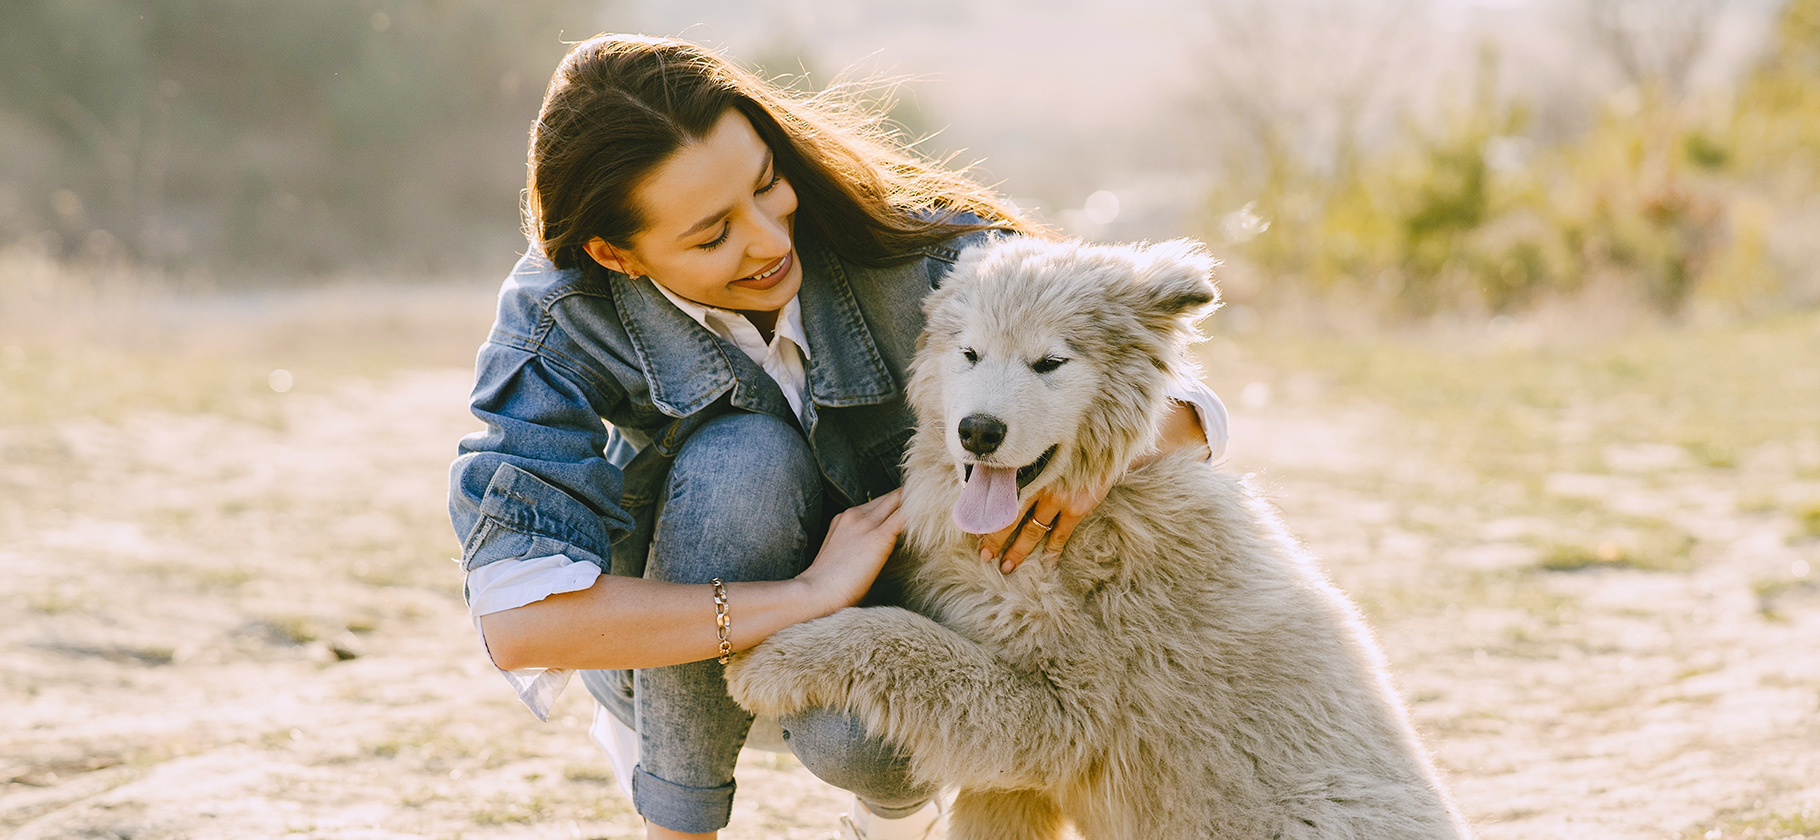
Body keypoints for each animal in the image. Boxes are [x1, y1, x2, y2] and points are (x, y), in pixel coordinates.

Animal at [720, 238, 1463, 840]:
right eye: (969, 353)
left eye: (1050, 362)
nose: (978, 431)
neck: (1090, 517)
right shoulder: (1017, 775)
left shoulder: (1067, 712)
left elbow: (905, 639)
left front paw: (774, 661)